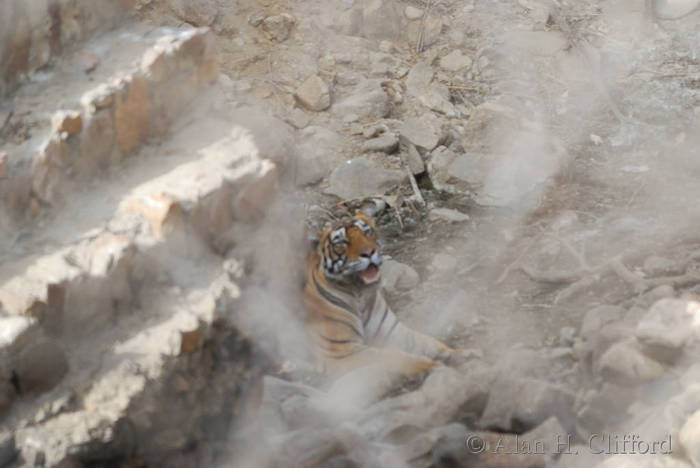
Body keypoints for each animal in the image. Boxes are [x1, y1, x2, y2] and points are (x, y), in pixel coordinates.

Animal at [302, 210, 456, 374]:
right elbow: (394, 356)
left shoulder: (394, 333)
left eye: (366, 232)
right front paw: (433, 366)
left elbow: (431, 344)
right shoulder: (341, 352)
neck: (360, 293)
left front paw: (462, 355)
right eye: (342, 243)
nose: (369, 252)